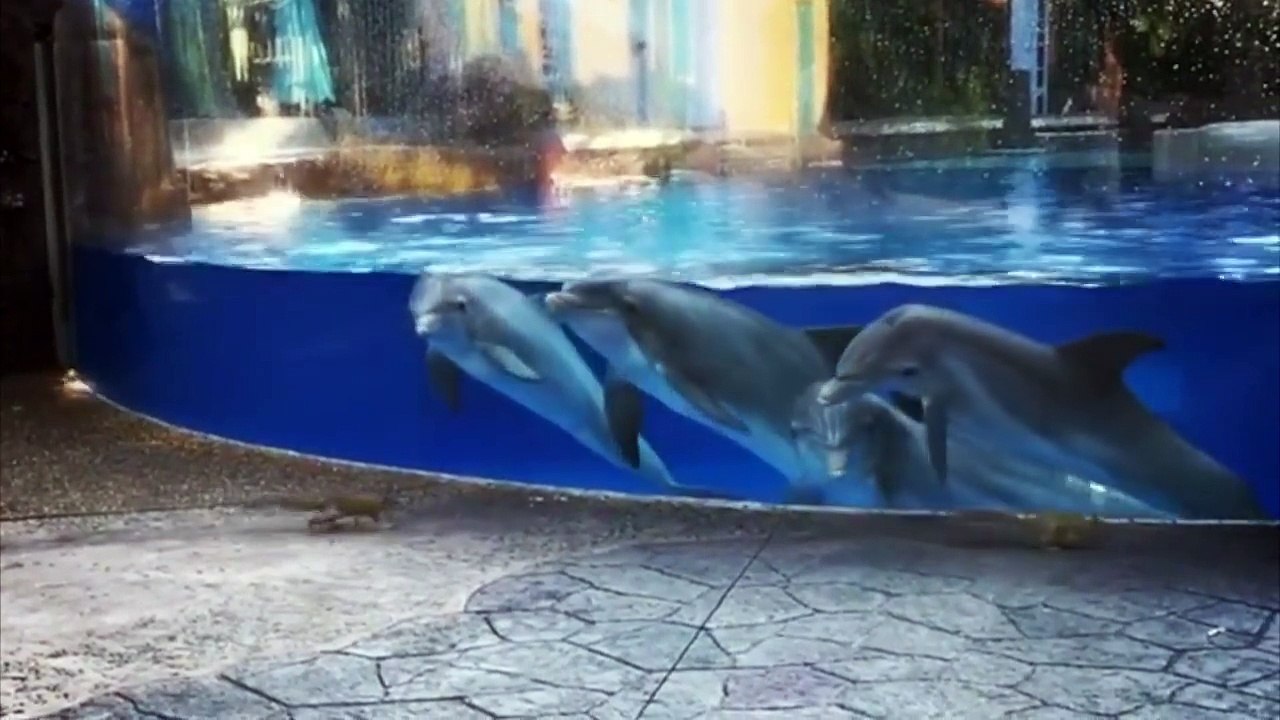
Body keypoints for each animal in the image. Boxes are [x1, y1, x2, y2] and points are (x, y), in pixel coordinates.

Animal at [241, 485, 403, 532]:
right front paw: (388, 524)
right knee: (318, 518)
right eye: (396, 501)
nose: (401, 502)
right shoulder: (374, 511)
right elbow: (378, 519)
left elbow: (358, 519)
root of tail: (325, 499)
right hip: (334, 509)